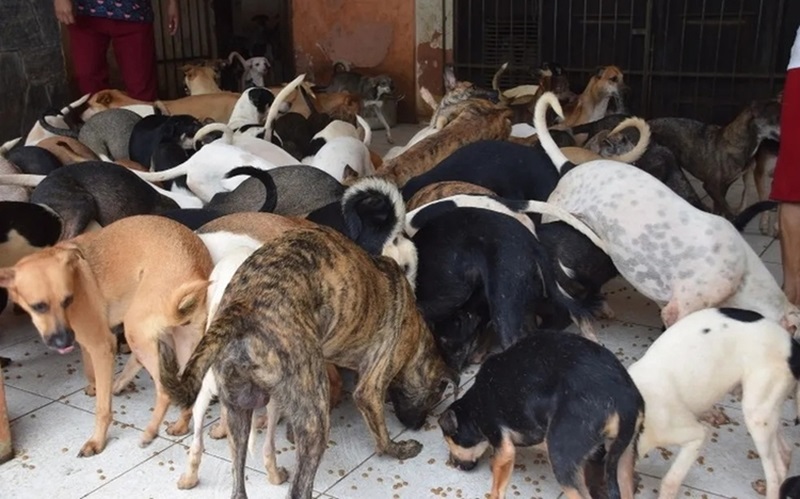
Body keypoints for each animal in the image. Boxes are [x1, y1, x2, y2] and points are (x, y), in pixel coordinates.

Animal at [0, 215, 212, 456]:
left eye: (67, 300)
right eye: (38, 306)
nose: (64, 341)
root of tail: (195, 269)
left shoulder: (102, 346)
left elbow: (102, 407)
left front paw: (97, 441)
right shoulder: (86, 343)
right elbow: (90, 372)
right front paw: (94, 387)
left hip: (136, 333)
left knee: (165, 391)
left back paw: (150, 432)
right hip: (185, 342)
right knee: (191, 389)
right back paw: (181, 425)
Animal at [158, 225, 456, 499]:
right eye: (434, 396)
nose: (418, 425)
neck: (416, 331)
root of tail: (242, 307)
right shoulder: (372, 385)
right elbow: (381, 436)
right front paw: (400, 449)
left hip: (238, 410)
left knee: (238, 481)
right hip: (315, 419)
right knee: (299, 488)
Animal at [439, 331, 644, 499]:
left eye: (450, 442)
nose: (453, 464)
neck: (475, 407)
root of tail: (623, 400)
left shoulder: (501, 441)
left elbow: (498, 485)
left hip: (561, 455)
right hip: (622, 457)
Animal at [630, 307, 800, 499]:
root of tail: (793, 344)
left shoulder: (695, 435)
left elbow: (670, 481)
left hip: (757, 415)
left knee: (775, 474)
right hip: (766, 412)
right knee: (785, 453)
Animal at [649, 98, 781, 218]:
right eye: (778, 118)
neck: (736, 143)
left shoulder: (724, 186)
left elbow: (719, 207)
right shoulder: (711, 186)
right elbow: (726, 208)